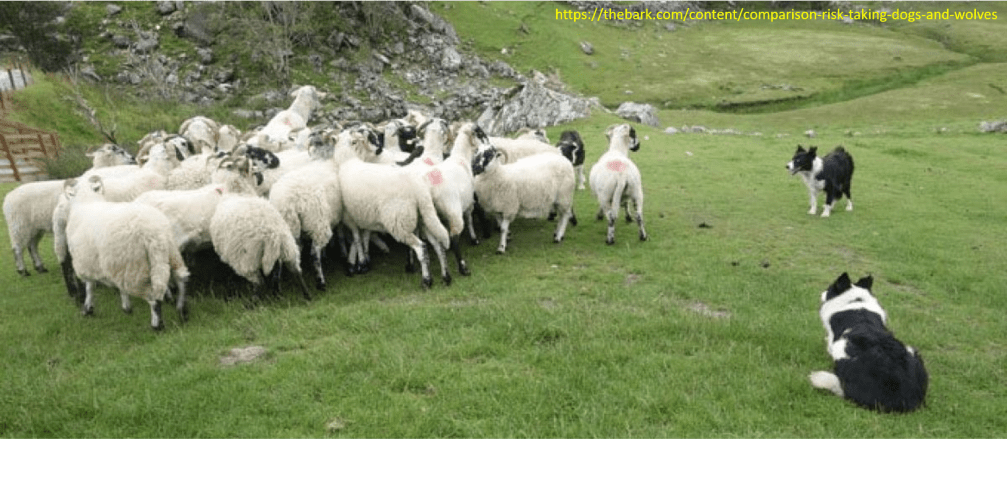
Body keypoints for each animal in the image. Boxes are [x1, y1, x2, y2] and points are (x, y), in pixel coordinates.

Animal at [63, 176, 190, 331]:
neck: (86, 201)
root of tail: (153, 232)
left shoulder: (87, 262)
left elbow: (90, 287)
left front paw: (88, 309)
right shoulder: (115, 264)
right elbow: (119, 288)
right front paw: (126, 307)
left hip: (134, 268)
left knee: (153, 297)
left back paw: (157, 325)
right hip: (170, 252)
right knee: (181, 278)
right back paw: (182, 311)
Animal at [336, 128, 451, 289]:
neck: (347, 160)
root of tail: (418, 189)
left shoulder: (350, 216)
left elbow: (357, 238)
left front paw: (360, 263)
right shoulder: (366, 214)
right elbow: (364, 236)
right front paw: (364, 261)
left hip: (399, 222)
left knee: (421, 248)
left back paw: (426, 280)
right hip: (424, 217)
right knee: (438, 245)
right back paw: (446, 276)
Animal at [810, 272, 929, 412]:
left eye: (829, 288)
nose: (821, 293)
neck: (856, 300)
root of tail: (907, 400)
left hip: (844, 350)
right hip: (912, 351)